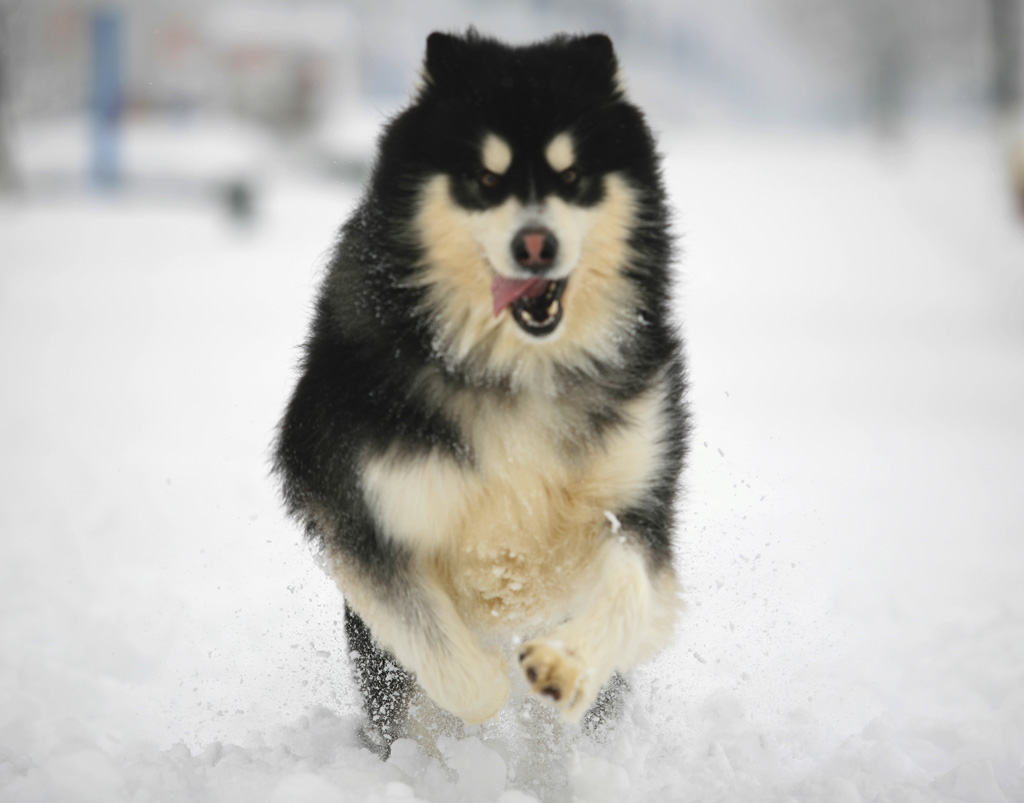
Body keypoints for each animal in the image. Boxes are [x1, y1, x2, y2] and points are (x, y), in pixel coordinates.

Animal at [274, 29, 688, 757]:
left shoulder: (640, 495)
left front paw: (562, 664)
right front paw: (487, 681)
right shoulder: (350, 505)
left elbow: (631, 592)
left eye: (572, 177)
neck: (514, 371)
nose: (536, 245)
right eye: (486, 180)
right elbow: (437, 647)